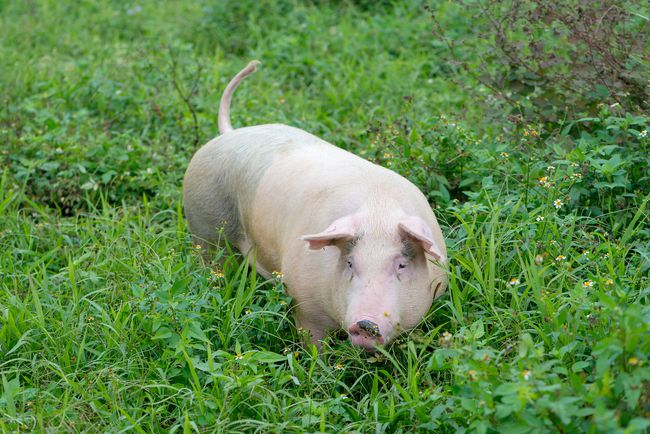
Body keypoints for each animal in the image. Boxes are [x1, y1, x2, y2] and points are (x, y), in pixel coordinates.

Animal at [182, 61, 446, 350]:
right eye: (350, 263)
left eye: (401, 265)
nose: (366, 324)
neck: (378, 211)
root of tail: (228, 133)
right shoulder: (304, 301)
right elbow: (313, 343)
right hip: (204, 226)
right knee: (213, 263)